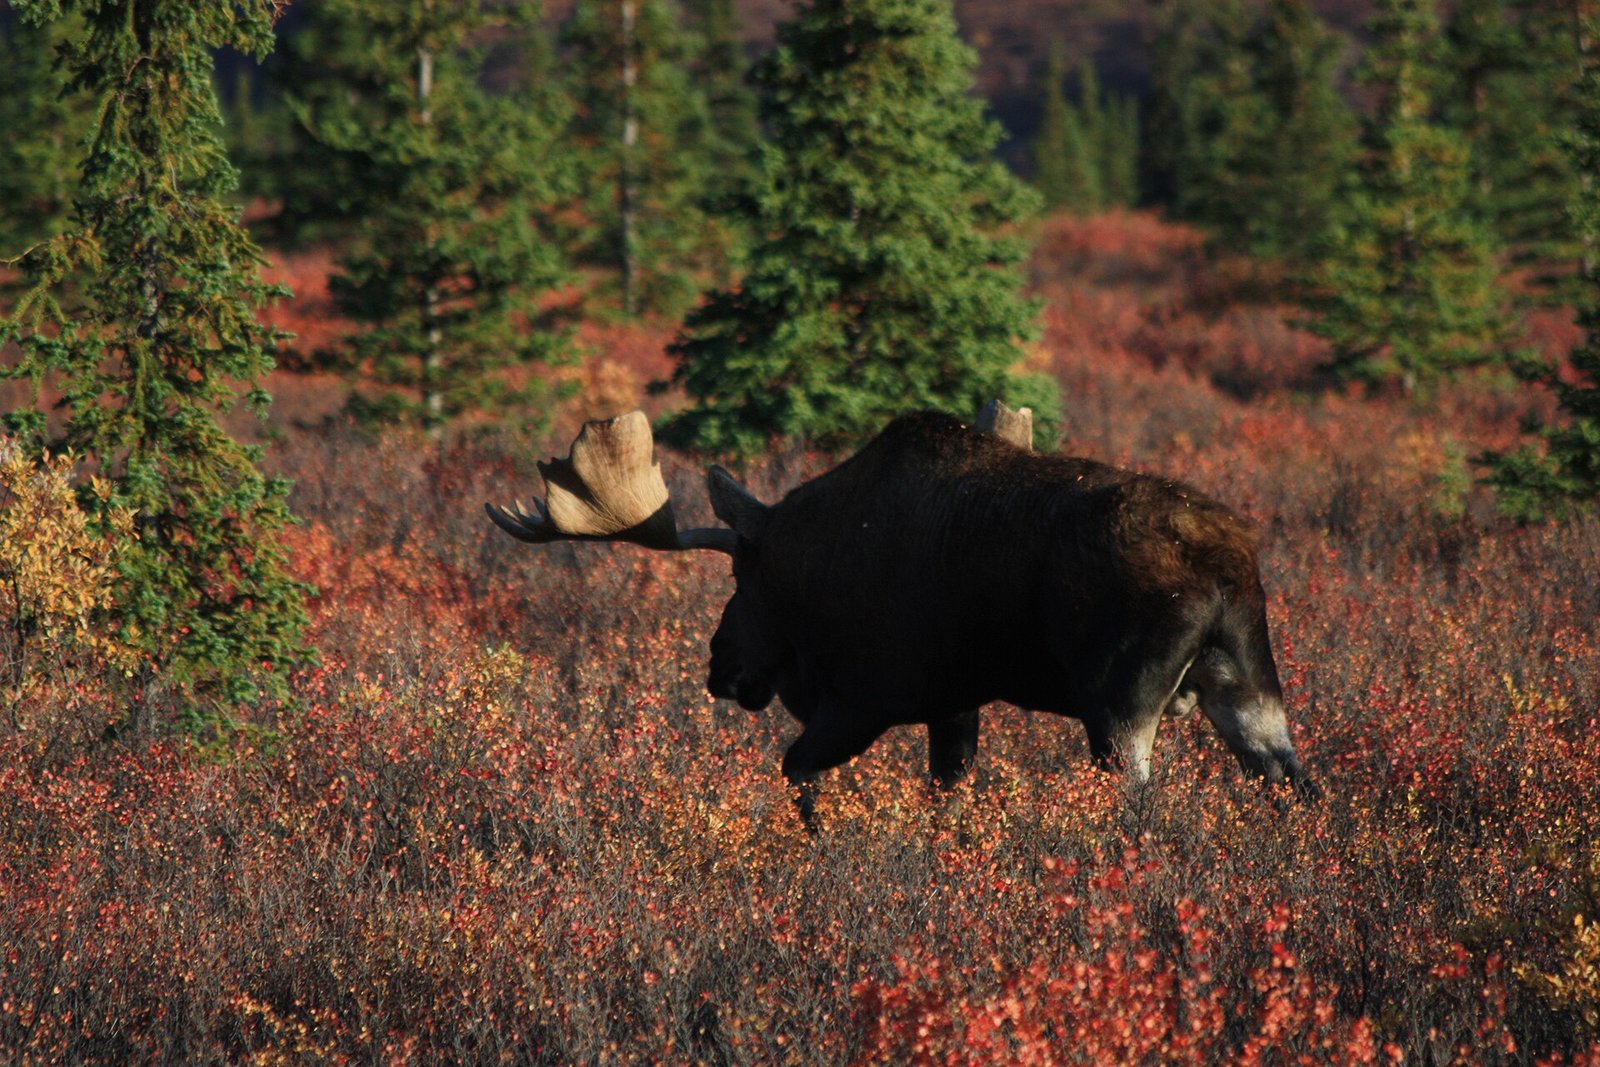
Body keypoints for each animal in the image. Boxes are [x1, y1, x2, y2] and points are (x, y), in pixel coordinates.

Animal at [487, 402, 1315, 824]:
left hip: (1119, 703)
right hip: (1246, 683)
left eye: (739, 577)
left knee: (1140, 804)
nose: (721, 664)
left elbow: (798, 771)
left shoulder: (870, 696)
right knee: (1293, 777)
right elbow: (947, 796)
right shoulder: (955, 702)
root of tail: (1229, 568)